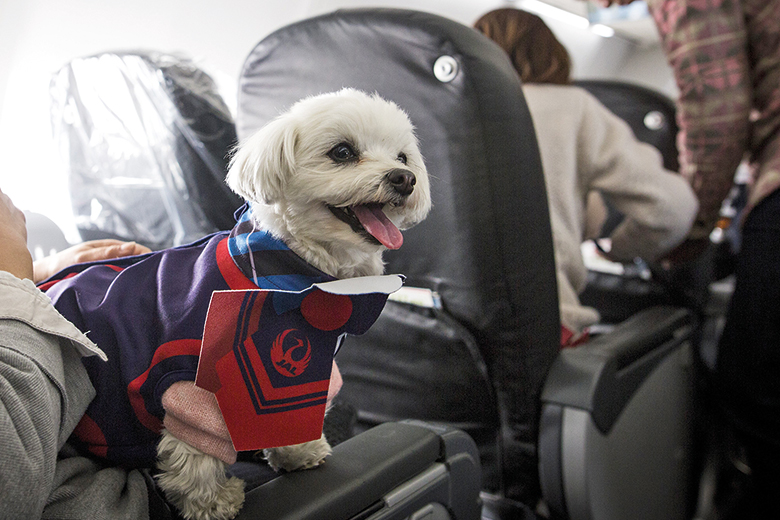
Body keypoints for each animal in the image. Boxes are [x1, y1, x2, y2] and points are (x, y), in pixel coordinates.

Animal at [155, 88, 430, 516]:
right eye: (342, 152)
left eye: (402, 157)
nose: (405, 179)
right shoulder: (196, 380)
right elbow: (194, 448)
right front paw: (211, 501)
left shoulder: (295, 369)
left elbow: (288, 410)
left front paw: (298, 453)